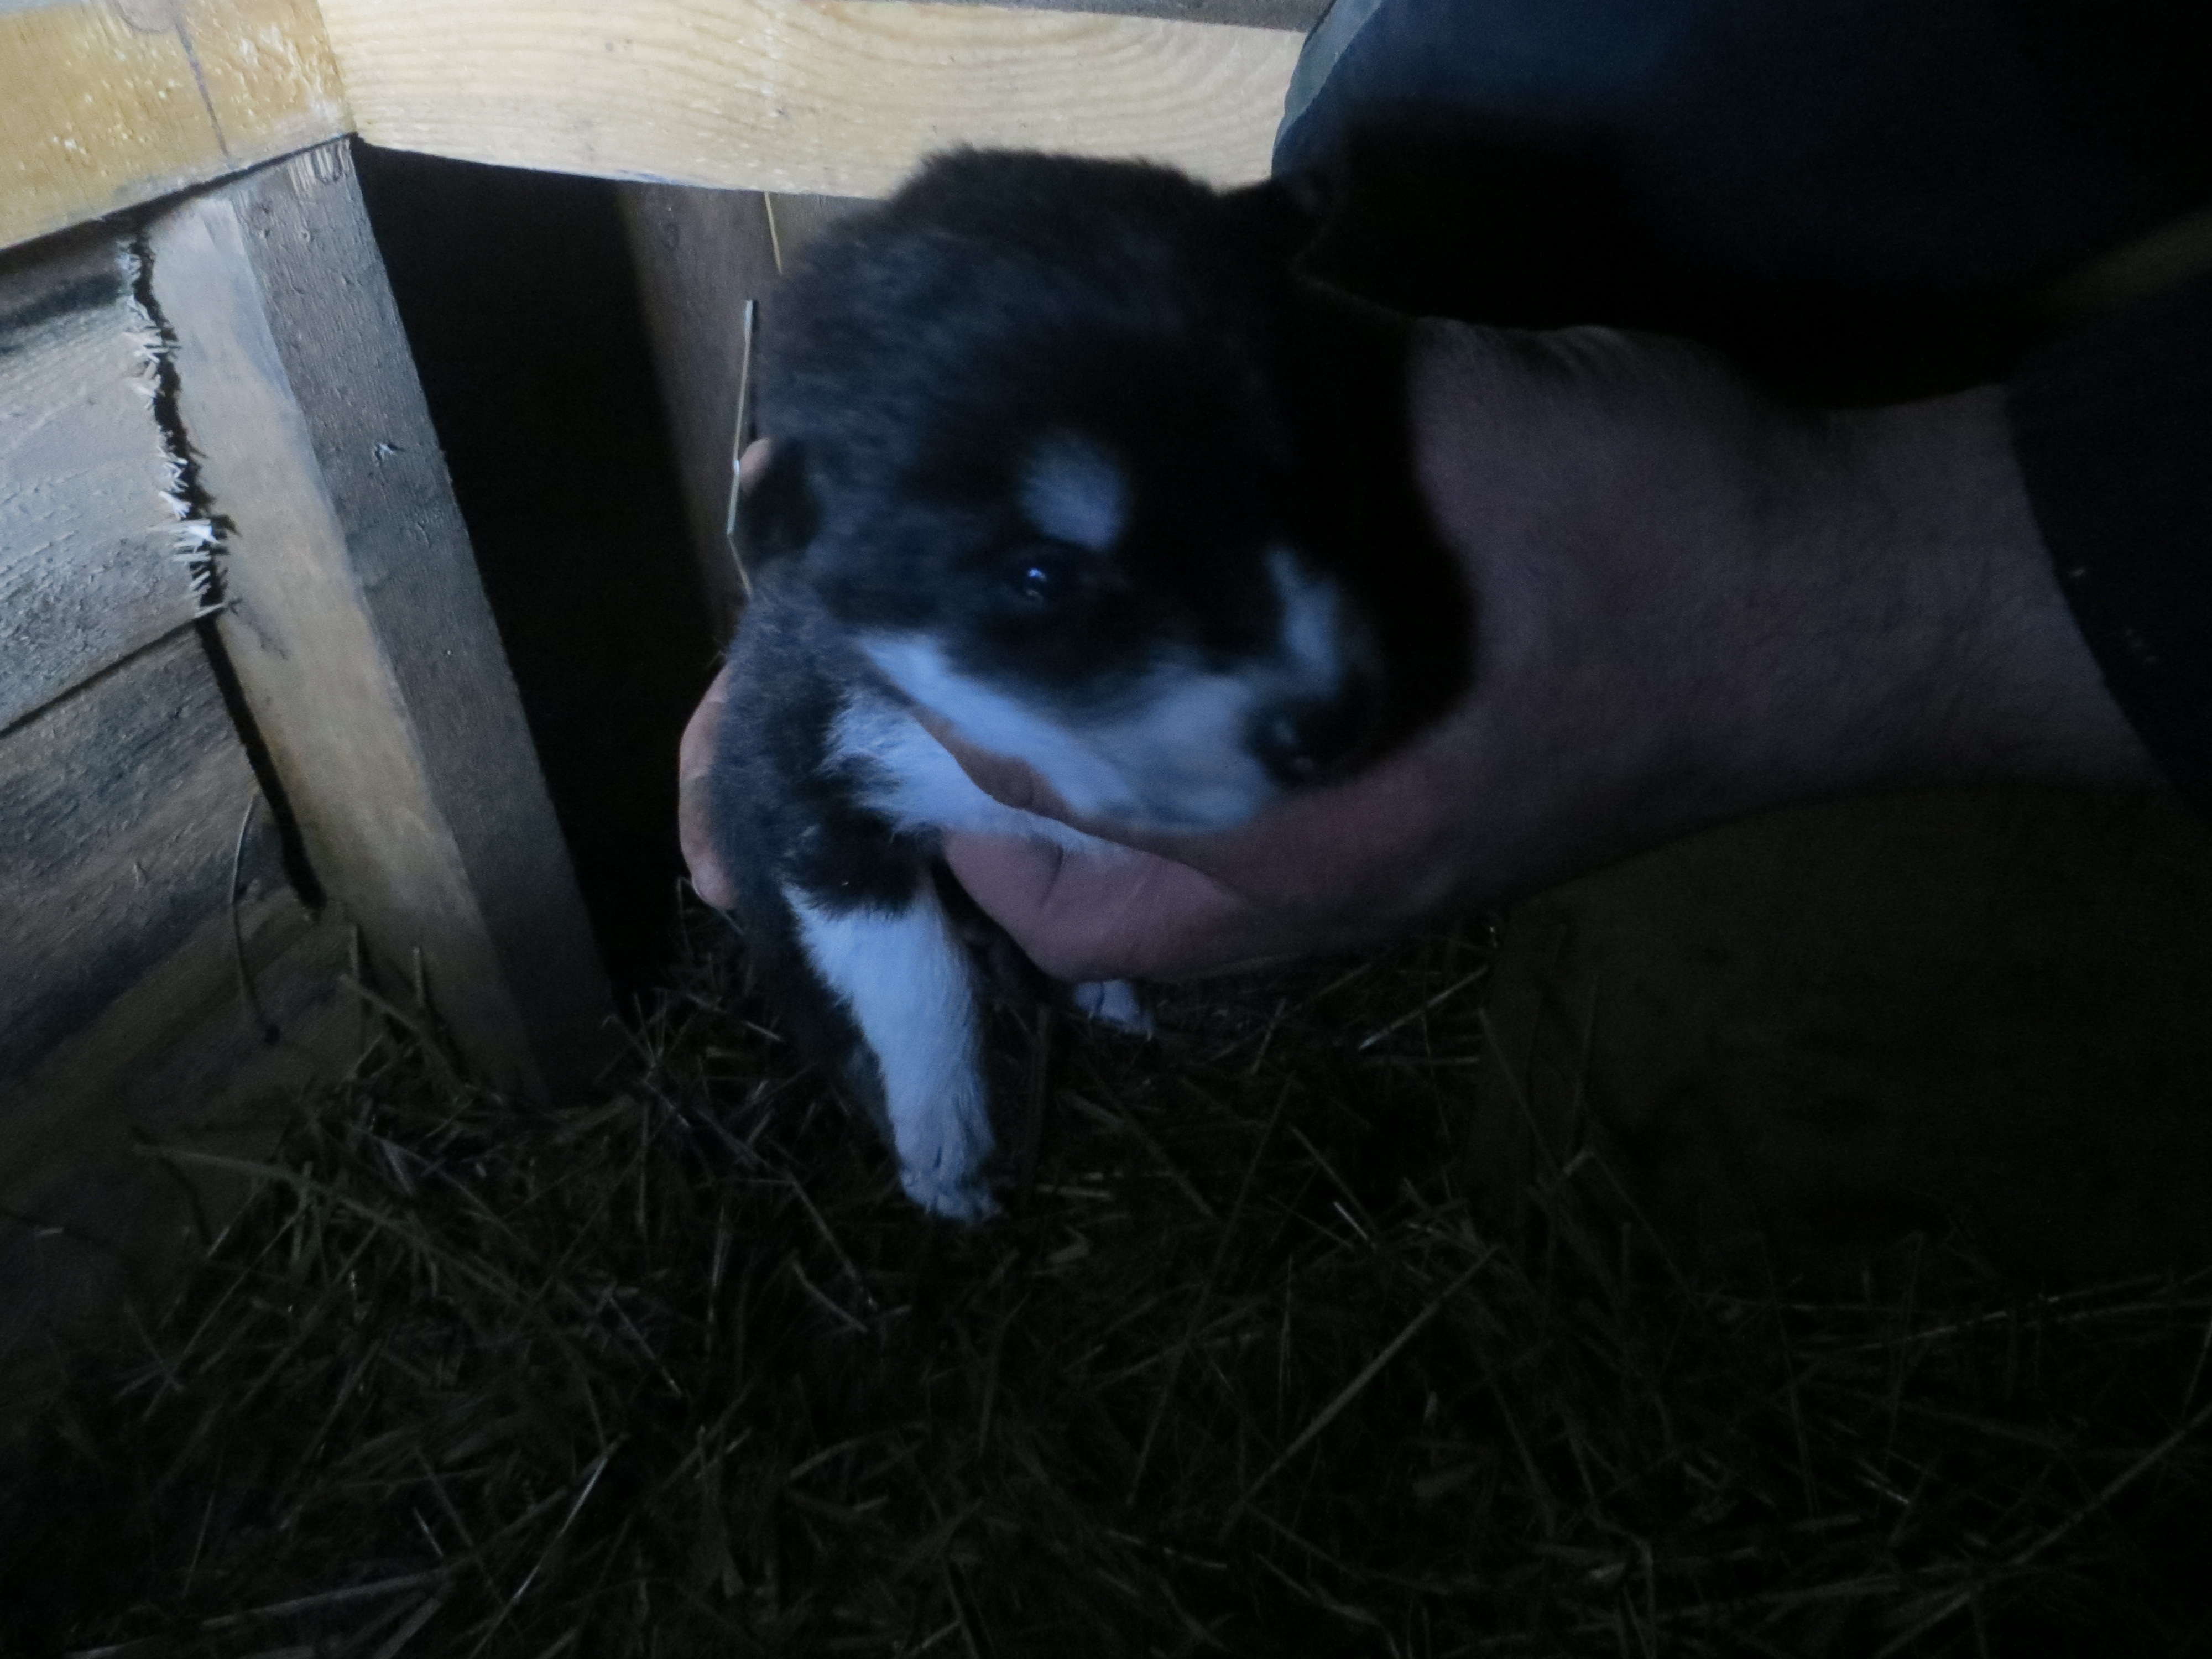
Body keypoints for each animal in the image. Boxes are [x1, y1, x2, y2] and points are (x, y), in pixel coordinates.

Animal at [710, 151, 1470, 1219]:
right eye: (1041, 578)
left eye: (1304, 481)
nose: (1332, 726)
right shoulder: (800, 781)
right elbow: (912, 965)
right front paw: (944, 1141)